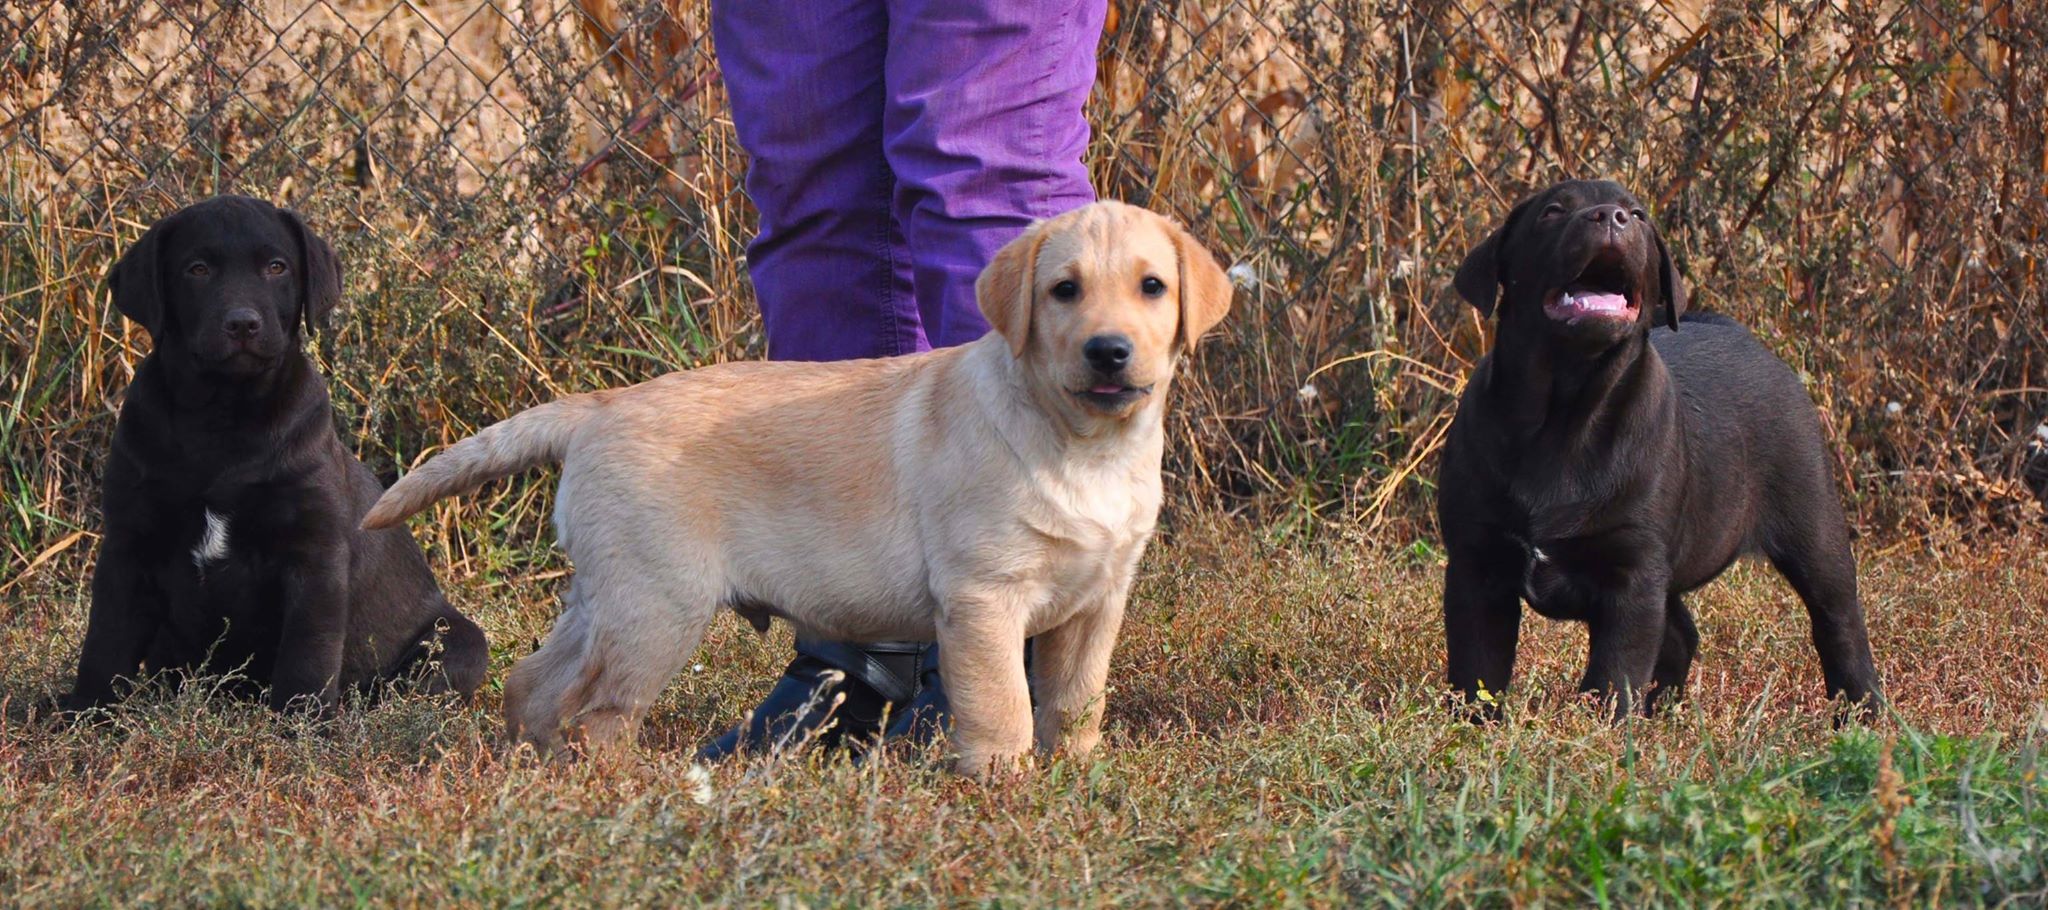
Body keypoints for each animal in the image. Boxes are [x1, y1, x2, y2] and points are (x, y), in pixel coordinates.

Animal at [59, 195, 483, 713]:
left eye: (277, 267)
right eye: (197, 269)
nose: (242, 323)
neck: (223, 417)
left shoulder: (314, 556)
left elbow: (308, 651)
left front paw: (300, 721)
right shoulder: (128, 543)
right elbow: (106, 640)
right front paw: (86, 712)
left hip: (459, 642)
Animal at [362, 200, 1228, 774]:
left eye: (1153, 287)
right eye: (1063, 291)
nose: (1108, 351)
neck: (1083, 445)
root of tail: (599, 406)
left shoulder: (1096, 601)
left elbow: (1078, 700)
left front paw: (1077, 776)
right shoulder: (984, 599)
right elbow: (1004, 707)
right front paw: (1003, 789)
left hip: (609, 596)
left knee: (536, 684)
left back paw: (534, 770)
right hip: (656, 608)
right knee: (602, 713)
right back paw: (619, 788)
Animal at [1433, 177, 1875, 717]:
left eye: (1638, 215)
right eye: (1552, 212)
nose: (1610, 216)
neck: (1565, 413)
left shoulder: (1634, 572)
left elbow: (1613, 672)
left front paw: (1600, 729)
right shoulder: (1479, 565)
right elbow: (1478, 667)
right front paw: (1471, 724)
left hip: (1813, 527)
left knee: (1838, 621)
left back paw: (1862, 712)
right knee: (1681, 632)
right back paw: (1662, 711)